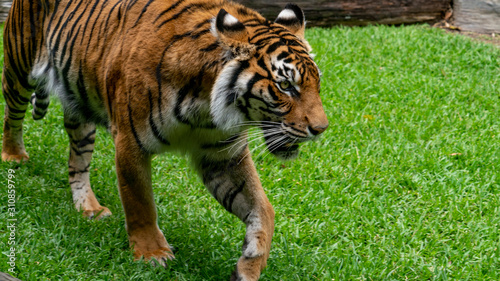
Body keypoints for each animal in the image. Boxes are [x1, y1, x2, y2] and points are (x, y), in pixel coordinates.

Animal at [0, 0, 328, 278]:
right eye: (285, 86)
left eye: (316, 84)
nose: (321, 128)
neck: (206, 108)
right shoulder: (130, 142)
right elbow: (140, 201)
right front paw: (152, 253)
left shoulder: (221, 155)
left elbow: (262, 208)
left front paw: (250, 263)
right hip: (19, 66)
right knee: (11, 114)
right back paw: (13, 155)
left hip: (79, 106)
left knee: (77, 161)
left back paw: (89, 208)